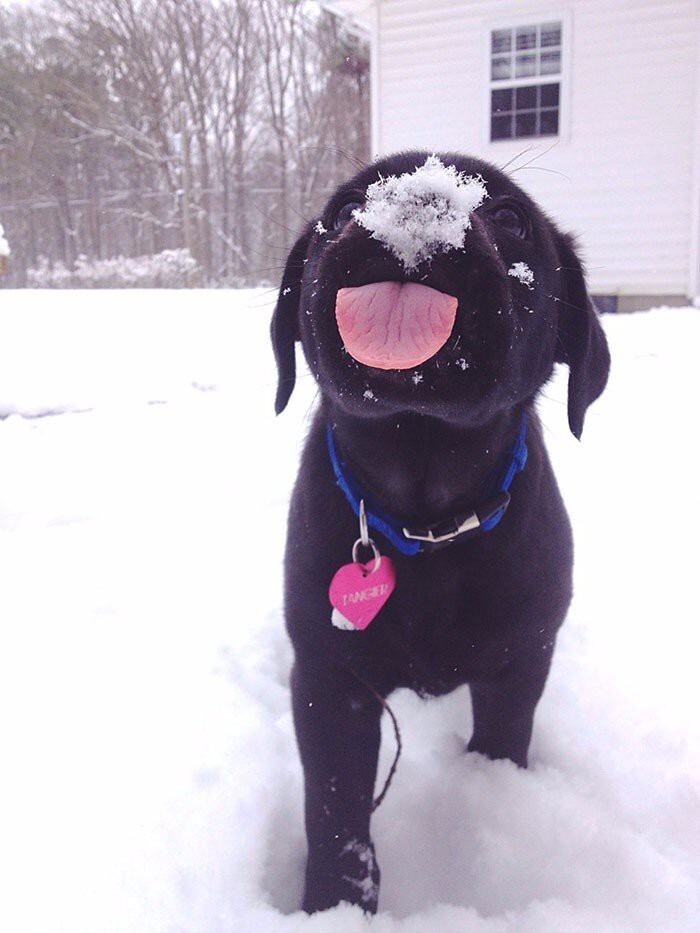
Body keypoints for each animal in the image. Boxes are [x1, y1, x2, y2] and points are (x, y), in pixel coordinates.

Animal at [270, 149, 608, 912]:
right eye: (344, 209)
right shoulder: (330, 680)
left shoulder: (519, 663)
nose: (418, 195)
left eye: (510, 217)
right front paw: (334, 906)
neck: (424, 523)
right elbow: (335, 812)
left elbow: (503, 742)